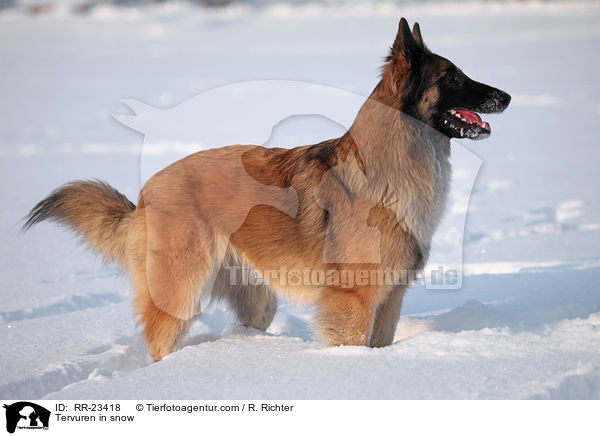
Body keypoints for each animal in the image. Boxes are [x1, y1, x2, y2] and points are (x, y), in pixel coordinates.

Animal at [23, 18, 510, 360]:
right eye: (451, 78)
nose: (506, 97)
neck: (392, 161)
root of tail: (146, 191)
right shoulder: (353, 301)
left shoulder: (390, 299)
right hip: (182, 290)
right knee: (161, 341)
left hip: (256, 299)